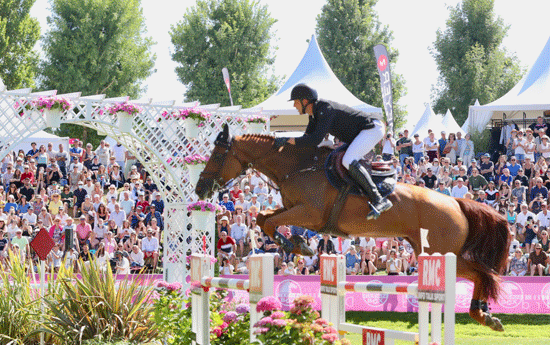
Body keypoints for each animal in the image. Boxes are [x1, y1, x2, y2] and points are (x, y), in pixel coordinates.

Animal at [195, 123, 512, 330]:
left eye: (217, 155)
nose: (200, 189)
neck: (297, 166)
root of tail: (456, 203)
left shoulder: (309, 213)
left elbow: (270, 221)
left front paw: (295, 245)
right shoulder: (294, 209)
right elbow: (264, 217)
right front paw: (298, 244)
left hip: (441, 253)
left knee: (483, 274)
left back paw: (485, 315)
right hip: (434, 251)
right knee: (482, 275)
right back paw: (485, 315)